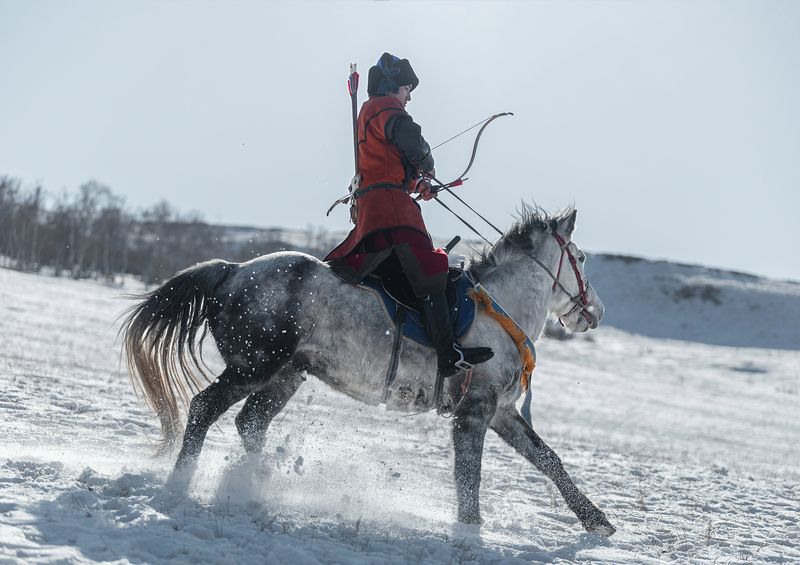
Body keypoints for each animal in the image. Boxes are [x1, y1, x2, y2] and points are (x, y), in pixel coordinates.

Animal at [121, 206, 616, 536]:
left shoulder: (501, 412)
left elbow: (547, 458)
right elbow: (469, 475)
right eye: (581, 258)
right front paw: (471, 529)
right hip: (252, 367)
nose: (595, 311)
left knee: (251, 422)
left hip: (286, 376)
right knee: (205, 408)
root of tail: (234, 270)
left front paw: (597, 521)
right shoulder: (474, 412)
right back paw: (181, 482)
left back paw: (257, 485)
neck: (500, 311)